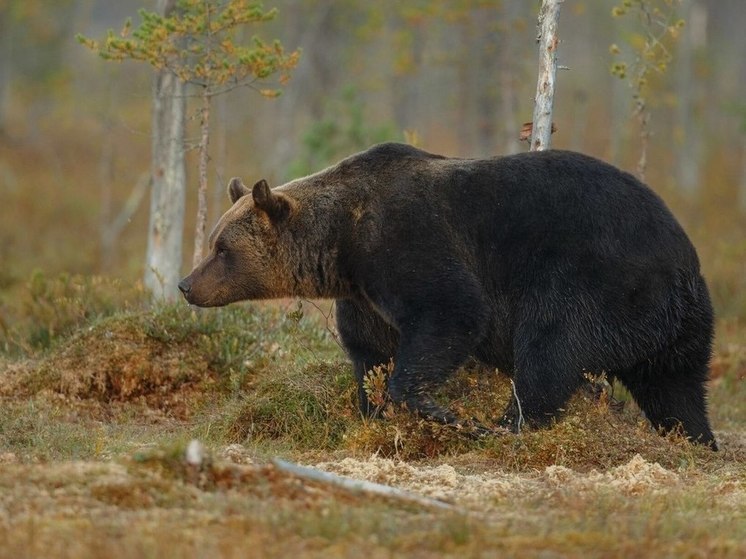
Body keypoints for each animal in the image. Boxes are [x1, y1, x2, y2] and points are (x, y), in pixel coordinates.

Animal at [179, 142, 716, 448]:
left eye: (222, 248)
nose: (186, 285)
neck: (341, 244)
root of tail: (682, 261)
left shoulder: (407, 242)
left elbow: (451, 313)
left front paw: (442, 412)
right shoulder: (363, 295)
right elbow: (369, 353)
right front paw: (373, 410)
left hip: (593, 279)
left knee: (549, 351)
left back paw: (506, 426)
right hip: (676, 324)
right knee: (676, 387)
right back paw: (696, 441)